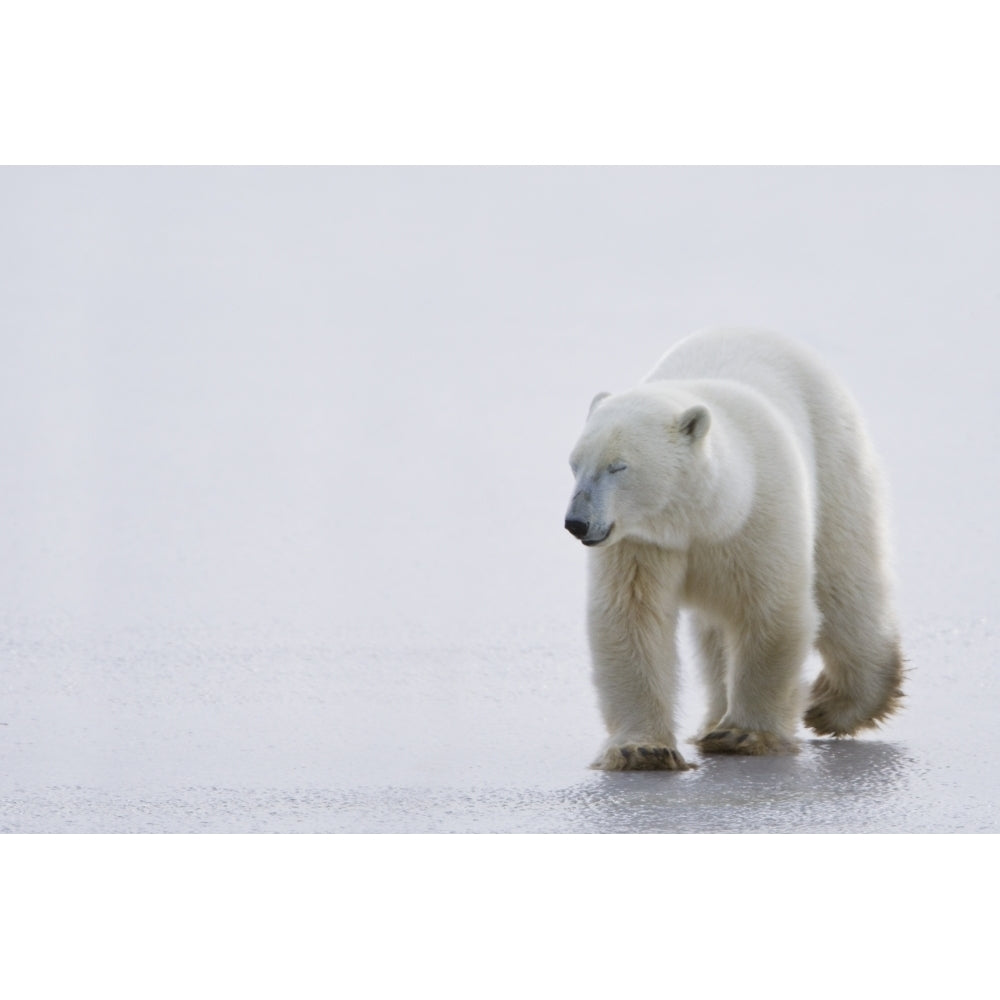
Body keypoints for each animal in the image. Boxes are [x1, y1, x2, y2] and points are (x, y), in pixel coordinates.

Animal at [568, 328, 904, 772]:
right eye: (574, 464)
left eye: (618, 466)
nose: (576, 522)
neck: (705, 517)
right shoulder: (643, 543)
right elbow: (632, 619)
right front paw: (642, 749)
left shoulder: (756, 518)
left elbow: (769, 610)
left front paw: (743, 733)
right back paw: (713, 718)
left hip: (833, 451)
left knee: (844, 578)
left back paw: (841, 704)